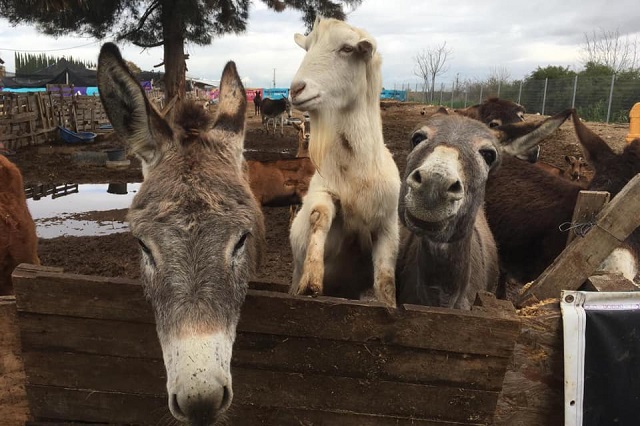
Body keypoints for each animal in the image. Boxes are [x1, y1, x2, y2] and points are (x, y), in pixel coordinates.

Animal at [288, 18, 398, 308]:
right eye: (308, 48)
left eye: (347, 49)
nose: (295, 89)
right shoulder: (323, 190)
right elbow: (319, 215)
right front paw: (312, 281)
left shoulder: (388, 222)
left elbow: (385, 274)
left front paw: (389, 305)